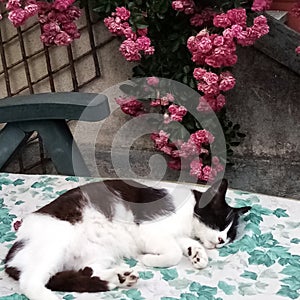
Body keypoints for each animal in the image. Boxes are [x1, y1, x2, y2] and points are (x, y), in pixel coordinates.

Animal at [4, 178, 251, 300]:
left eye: (230, 235)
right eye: (220, 223)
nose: (221, 241)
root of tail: (9, 259)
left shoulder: (173, 233)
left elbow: (188, 244)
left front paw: (198, 255)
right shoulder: (149, 230)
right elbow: (173, 252)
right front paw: (149, 259)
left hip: (99, 253)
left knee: (87, 270)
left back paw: (120, 278)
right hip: (56, 244)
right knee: (31, 281)